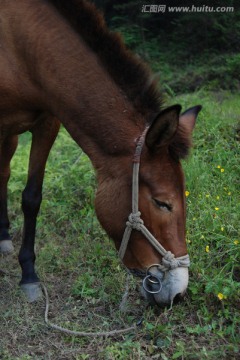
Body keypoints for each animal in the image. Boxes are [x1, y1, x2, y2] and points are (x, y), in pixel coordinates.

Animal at [0, 0, 201, 306]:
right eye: (162, 203)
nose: (177, 291)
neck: (20, 47)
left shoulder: (48, 121)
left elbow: (32, 198)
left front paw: (29, 275)